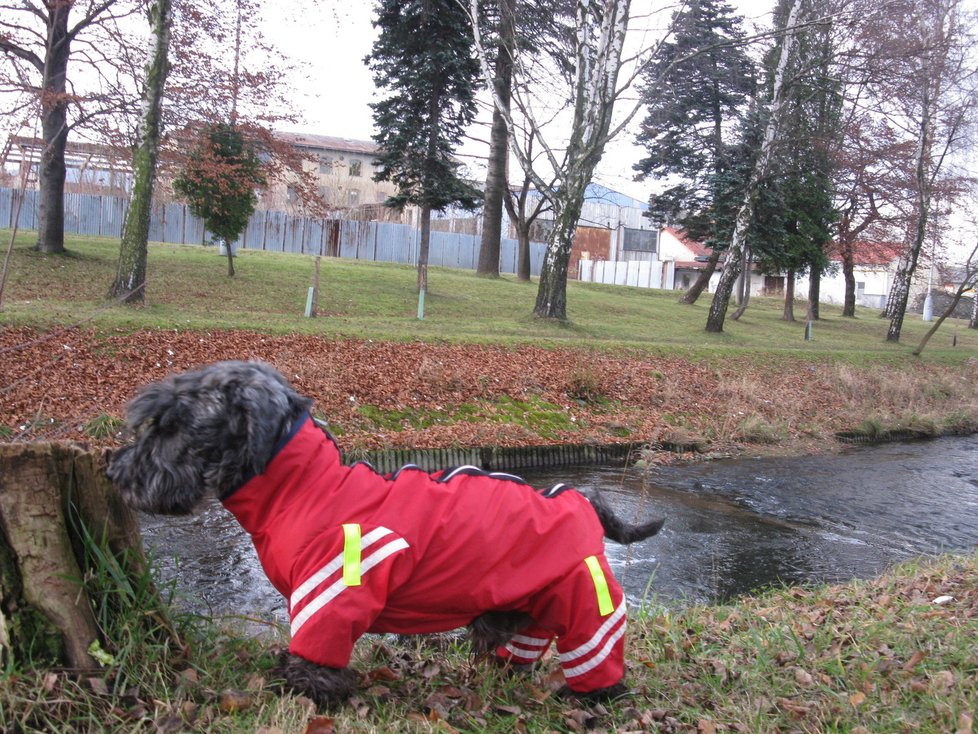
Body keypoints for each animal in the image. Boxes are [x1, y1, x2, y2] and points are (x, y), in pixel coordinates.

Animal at [108, 362, 664, 708]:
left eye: (172, 423)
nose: (117, 474)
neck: (305, 488)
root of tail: (580, 501)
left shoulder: (328, 600)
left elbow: (315, 661)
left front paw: (302, 693)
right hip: (530, 606)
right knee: (523, 650)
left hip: (587, 605)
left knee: (600, 659)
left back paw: (591, 698)